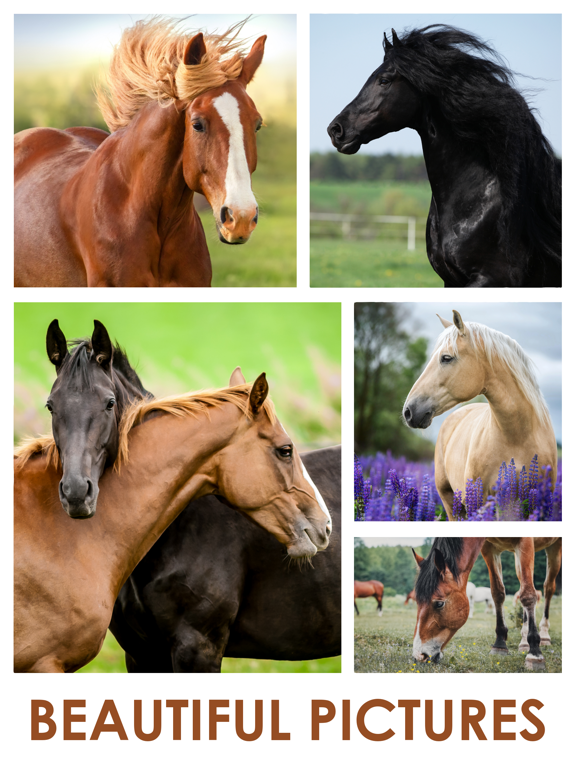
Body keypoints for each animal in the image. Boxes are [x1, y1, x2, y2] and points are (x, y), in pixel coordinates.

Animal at [412, 537, 562, 670]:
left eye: (439, 604)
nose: (419, 655)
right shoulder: (490, 548)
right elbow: (497, 593)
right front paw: (500, 644)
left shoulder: (525, 542)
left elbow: (528, 595)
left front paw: (534, 652)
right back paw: (524, 641)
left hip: (553, 547)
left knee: (548, 588)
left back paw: (544, 635)